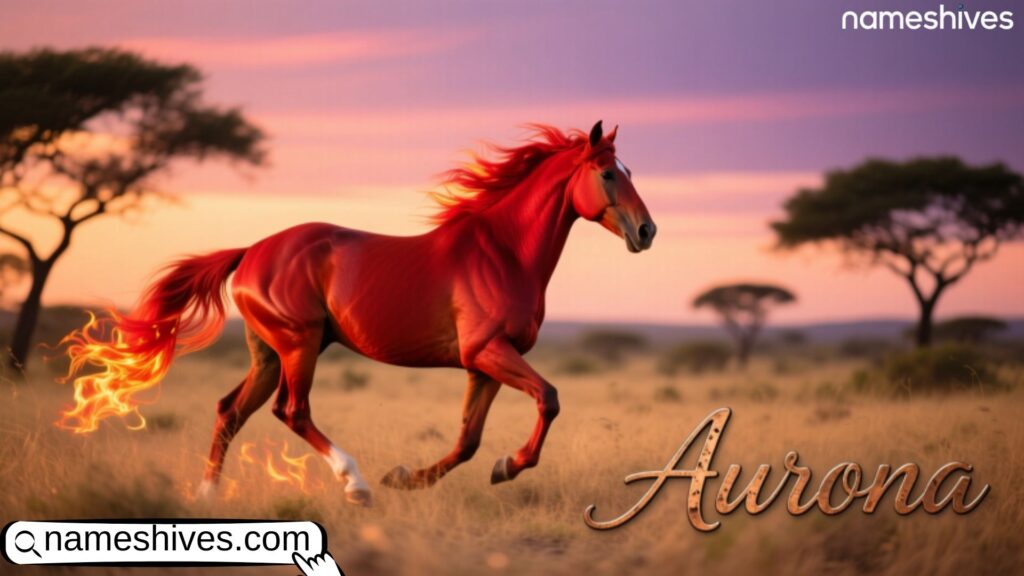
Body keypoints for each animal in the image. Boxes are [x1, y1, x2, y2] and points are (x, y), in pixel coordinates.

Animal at [58, 121, 656, 506]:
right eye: (608, 173)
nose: (647, 231)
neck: (502, 253)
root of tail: (251, 252)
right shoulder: (489, 351)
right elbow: (548, 399)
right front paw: (505, 466)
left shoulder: (481, 365)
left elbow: (467, 442)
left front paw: (412, 478)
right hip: (299, 345)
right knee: (291, 411)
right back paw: (356, 484)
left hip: (270, 352)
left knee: (231, 410)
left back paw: (207, 497)